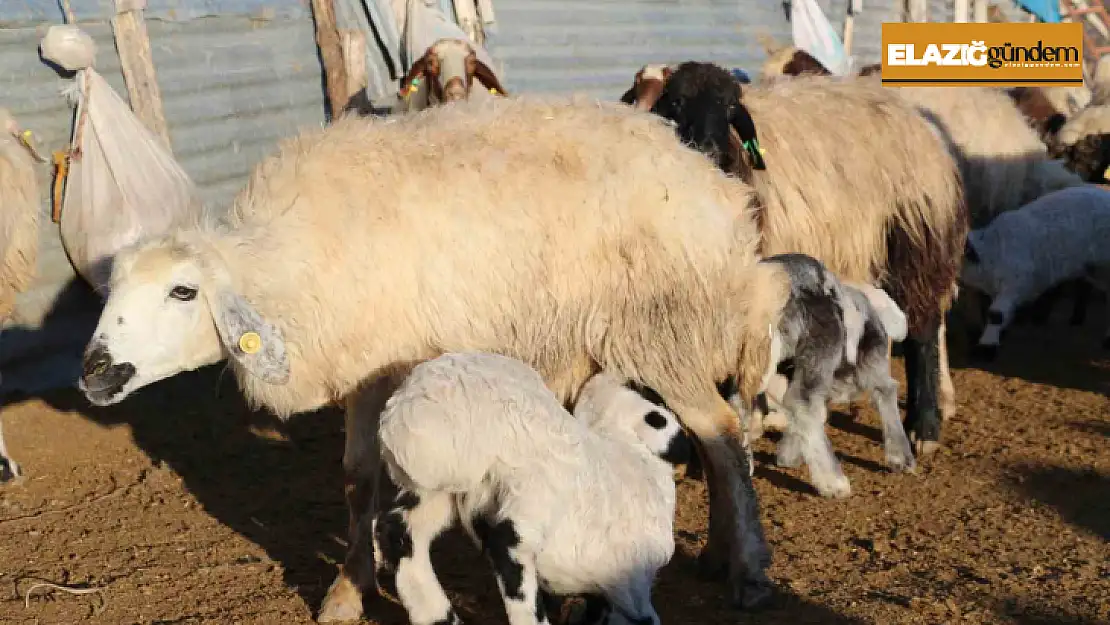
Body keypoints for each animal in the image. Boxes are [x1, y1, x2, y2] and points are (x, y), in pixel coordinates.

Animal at [368, 353, 688, 625]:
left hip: (437, 487)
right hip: (533, 492)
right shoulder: (631, 583)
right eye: (652, 394)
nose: (617, 372)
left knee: (400, 531)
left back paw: (439, 616)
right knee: (508, 550)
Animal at [630, 61, 967, 457]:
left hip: (915, 238)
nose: (710, 150)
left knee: (923, 331)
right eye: (676, 102)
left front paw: (753, 417)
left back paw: (924, 425)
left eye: (730, 108)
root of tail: (917, 119)